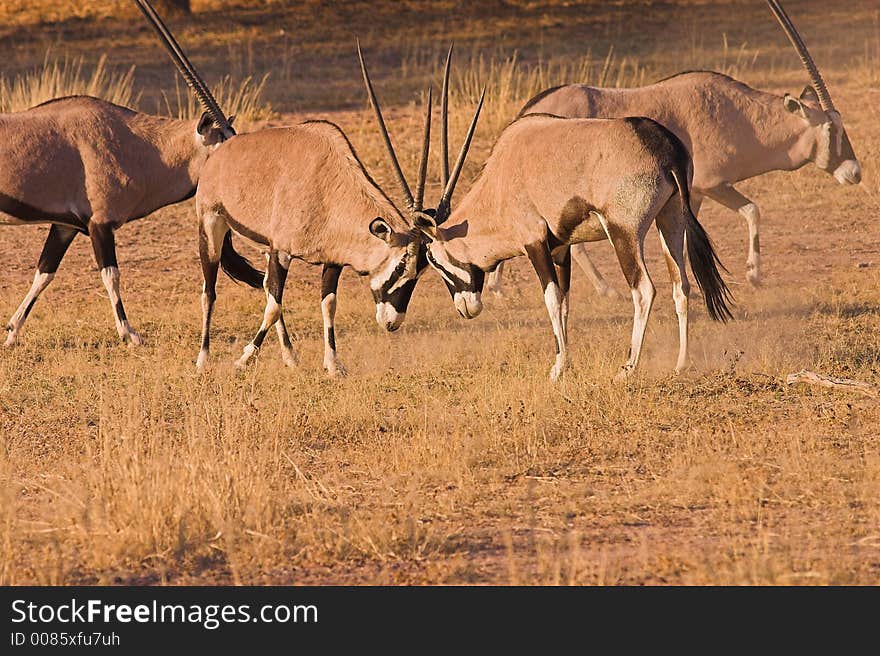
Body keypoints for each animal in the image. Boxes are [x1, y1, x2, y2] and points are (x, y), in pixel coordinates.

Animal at [0, 0, 237, 348]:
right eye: (222, 145)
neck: (141, 146)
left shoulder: (65, 226)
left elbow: (44, 273)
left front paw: (12, 331)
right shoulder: (100, 225)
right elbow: (111, 275)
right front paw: (130, 334)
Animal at [194, 44, 482, 374]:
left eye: (423, 271)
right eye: (400, 266)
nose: (392, 323)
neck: (328, 185)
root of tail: (222, 149)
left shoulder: (331, 260)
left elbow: (327, 303)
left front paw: (333, 364)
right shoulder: (282, 252)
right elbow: (274, 306)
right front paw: (243, 359)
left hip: (263, 246)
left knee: (265, 287)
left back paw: (290, 356)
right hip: (211, 226)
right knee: (210, 292)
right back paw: (203, 359)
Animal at [416, 107, 732, 380]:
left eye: (432, 260)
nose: (465, 309)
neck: (500, 183)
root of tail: (666, 147)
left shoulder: (534, 243)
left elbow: (552, 299)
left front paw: (557, 369)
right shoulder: (560, 248)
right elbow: (566, 302)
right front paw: (565, 364)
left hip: (624, 232)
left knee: (643, 289)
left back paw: (627, 368)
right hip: (671, 219)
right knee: (681, 285)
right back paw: (681, 364)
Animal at [484, 0, 856, 298]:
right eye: (831, 128)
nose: (855, 172)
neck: (740, 116)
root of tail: (530, 110)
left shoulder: (694, 193)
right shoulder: (711, 183)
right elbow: (753, 210)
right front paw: (754, 275)